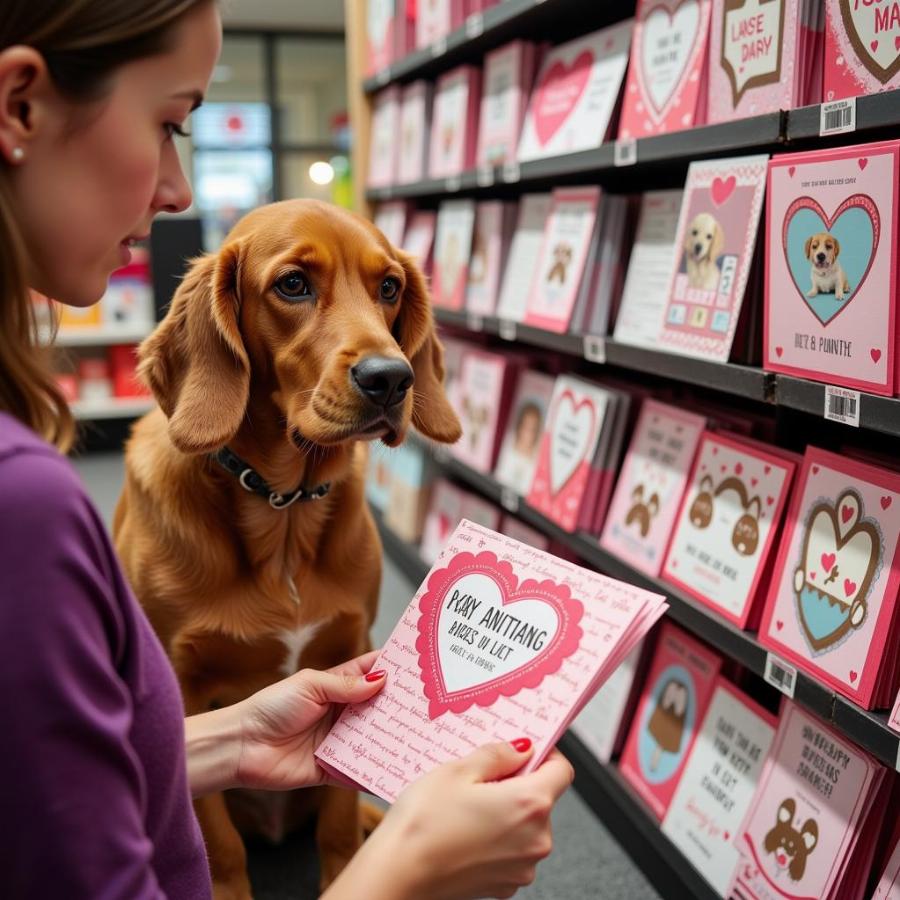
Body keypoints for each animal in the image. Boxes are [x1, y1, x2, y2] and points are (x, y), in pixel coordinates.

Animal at [113, 200, 460, 896]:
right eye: (293, 284)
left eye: (390, 287)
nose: (392, 378)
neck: (284, 511)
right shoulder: (182, 691)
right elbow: (217, 841)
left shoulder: (348, 653)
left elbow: (336, 819)